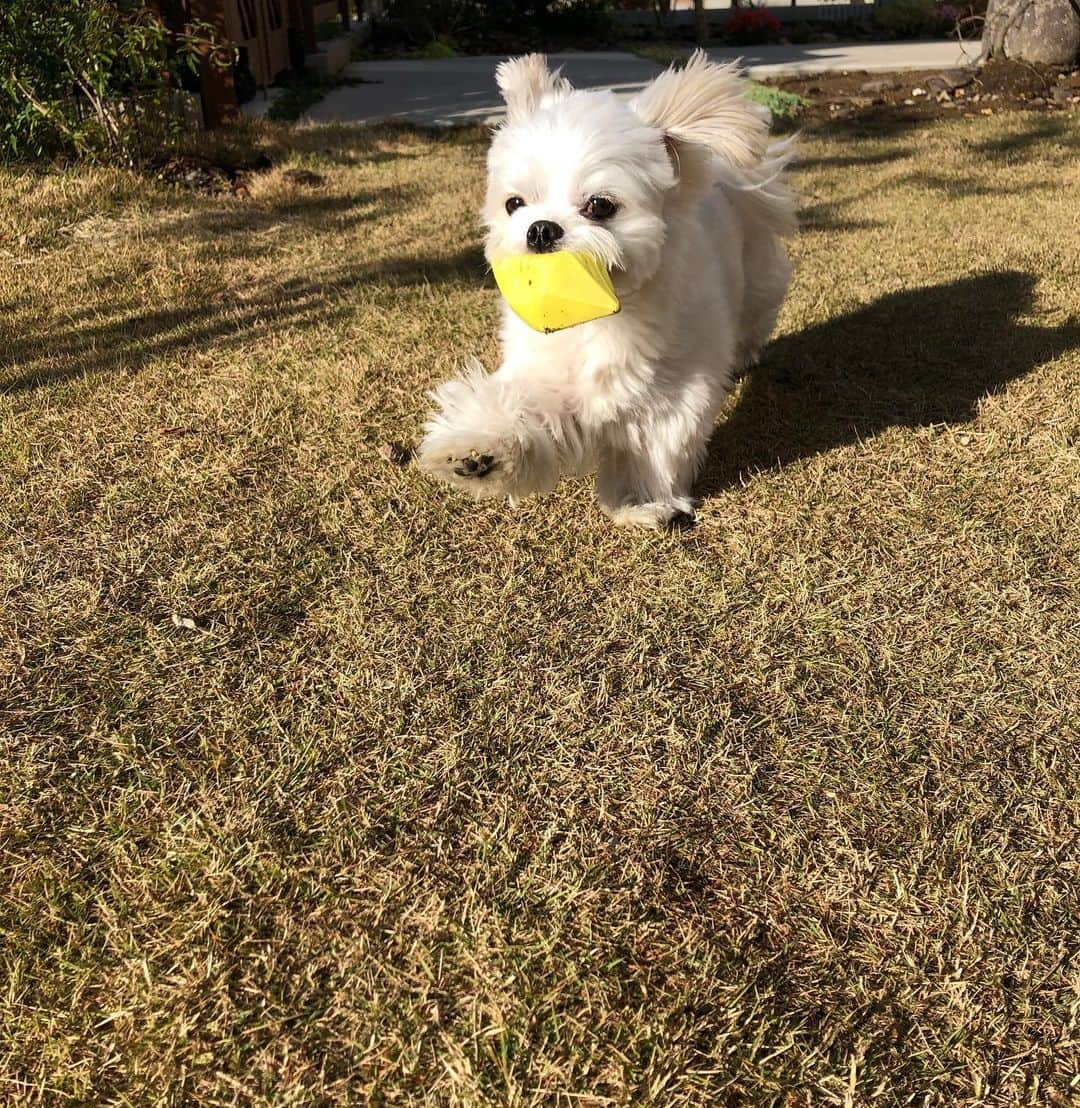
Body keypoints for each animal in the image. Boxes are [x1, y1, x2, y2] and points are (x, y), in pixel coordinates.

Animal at [418, 54, 797, 529]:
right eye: (514, 204)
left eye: (600, 205)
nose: (540, 229)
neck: (598, 316)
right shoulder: (549, 371)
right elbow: (526, 406)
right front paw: (482, 449)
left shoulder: (676, 390)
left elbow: (654, 445)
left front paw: (640, 502)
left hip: (756, 278)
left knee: (755, 315)